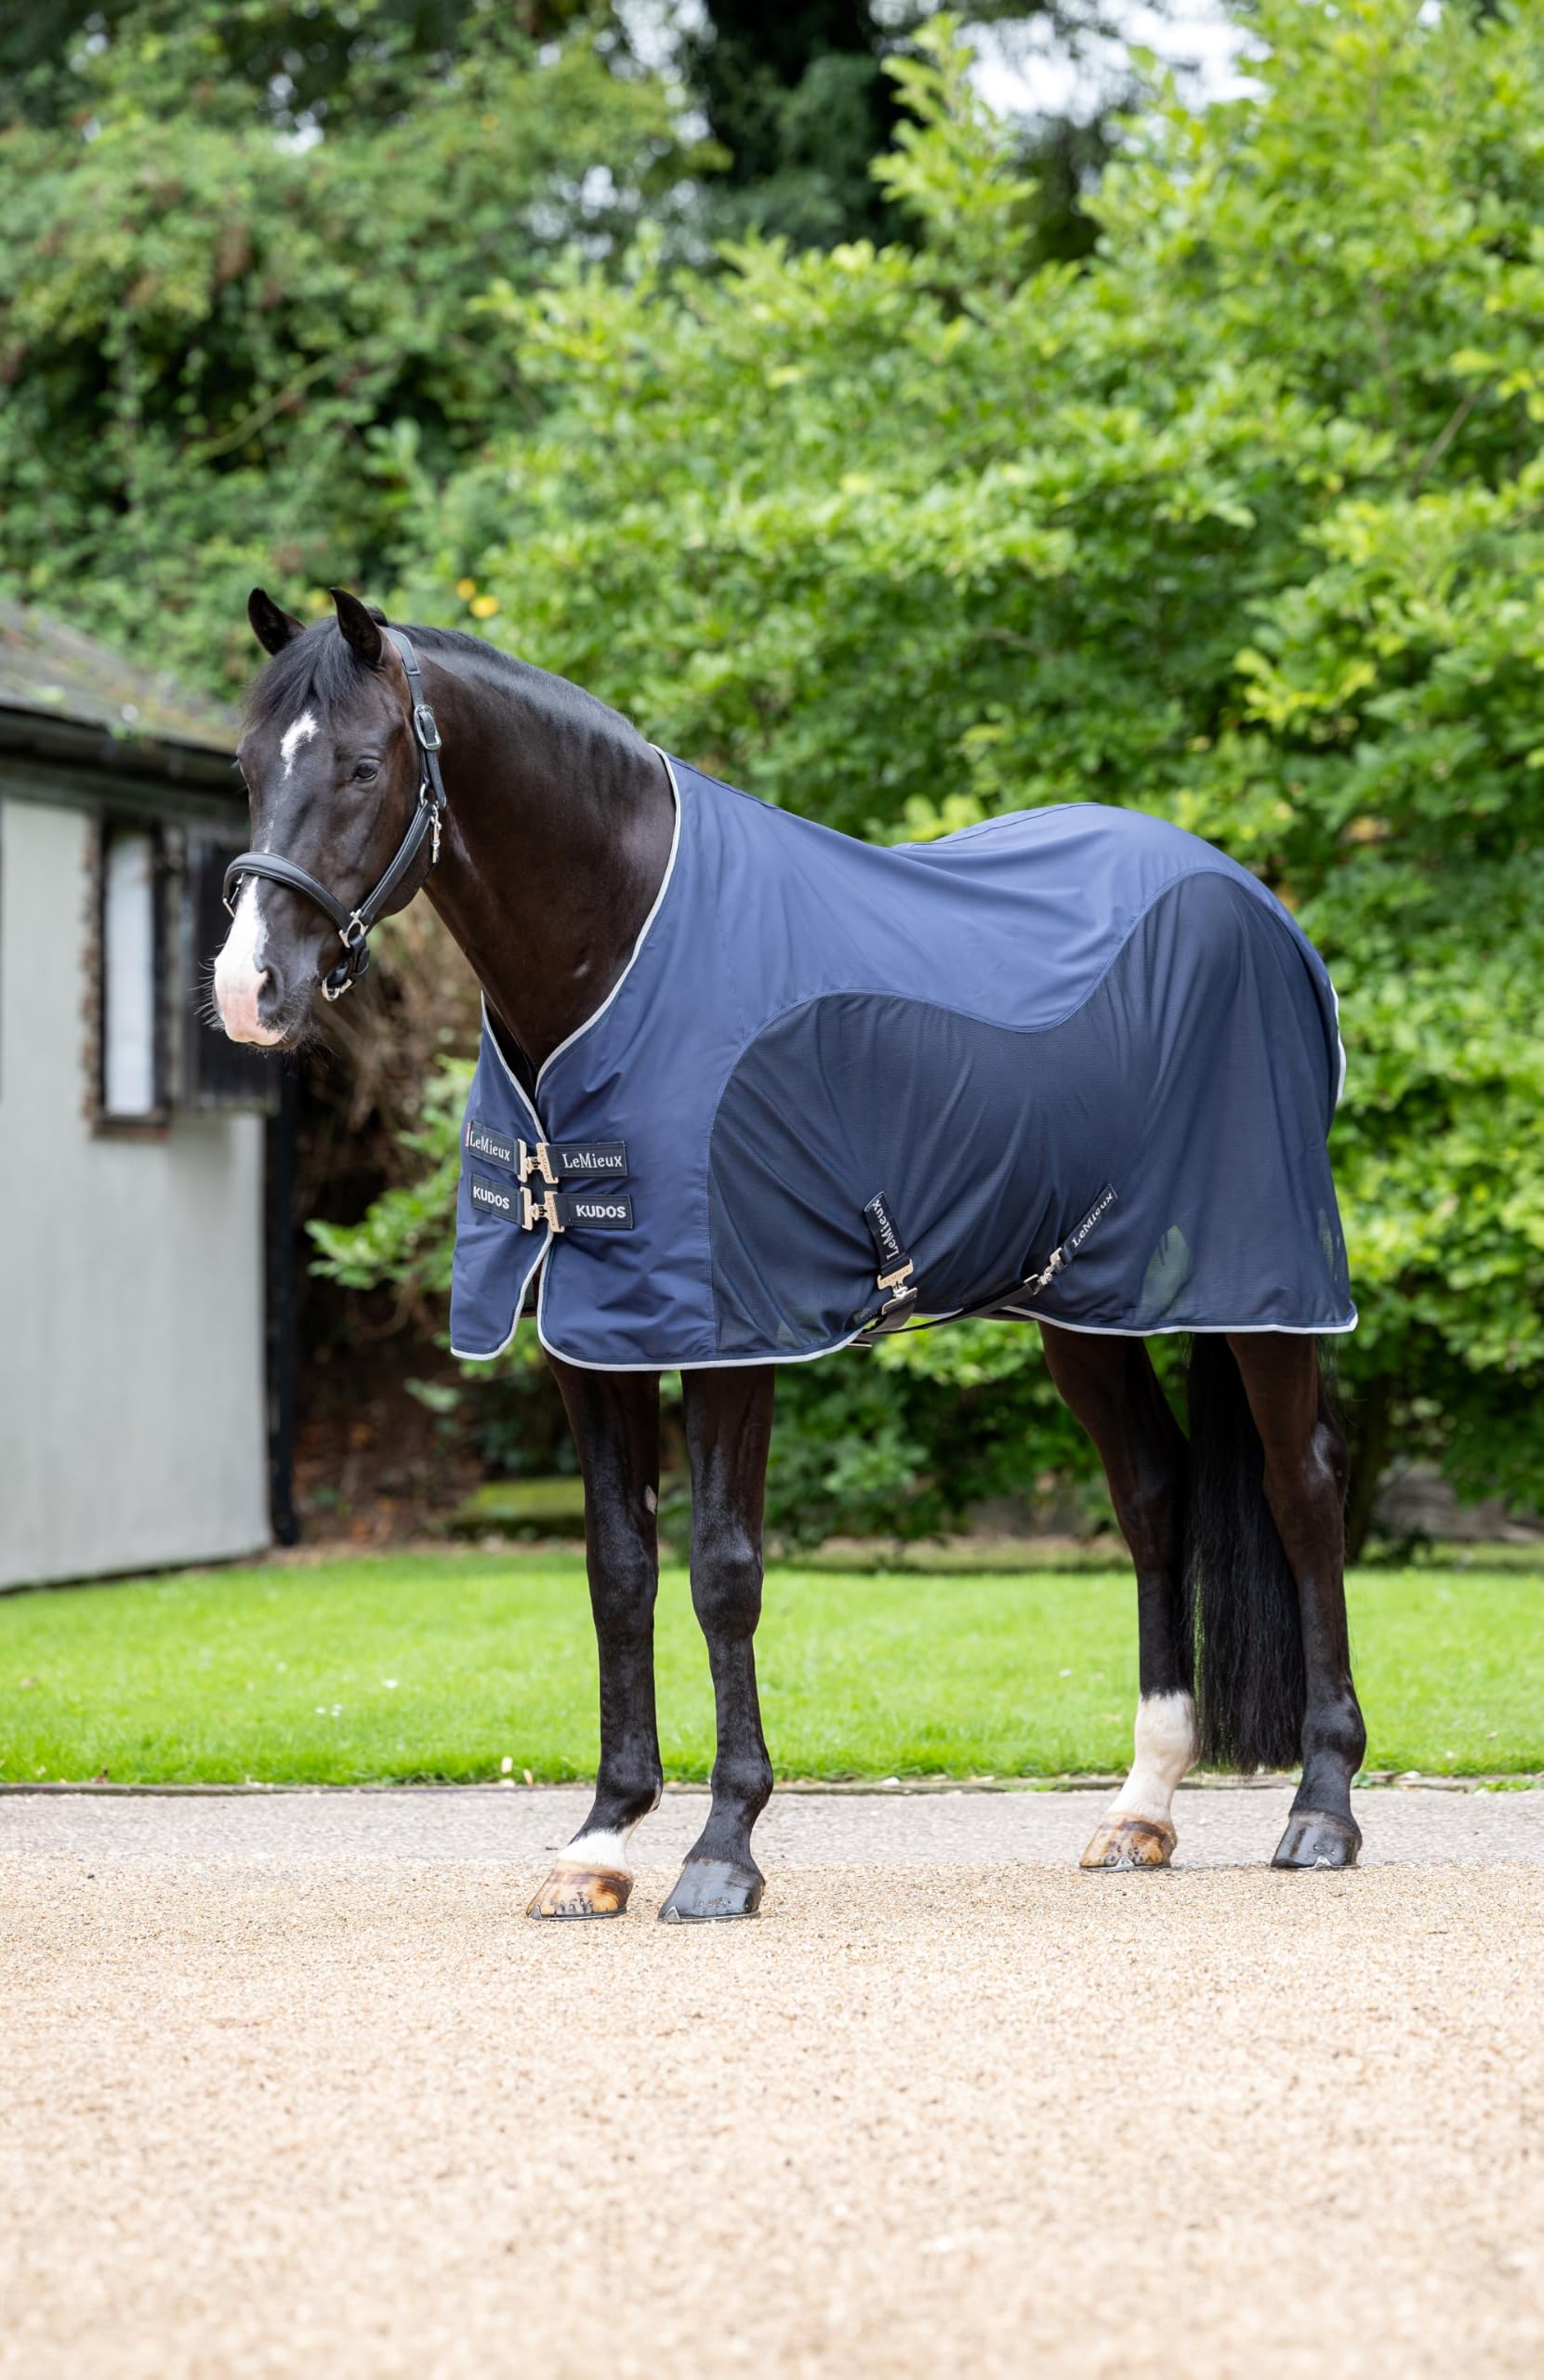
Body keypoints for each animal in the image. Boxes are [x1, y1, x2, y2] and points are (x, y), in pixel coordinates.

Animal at [216, 585, 1367, 1919]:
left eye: (361, 764)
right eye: (249, 766)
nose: (250, 988)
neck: (621, 950)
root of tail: (1250, 899)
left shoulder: (726, 1335)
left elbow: (723, 1572)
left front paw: (723, 1849)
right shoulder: (591, 1341)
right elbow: (618, 1573)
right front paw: (599, 1843)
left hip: (1261, 1287)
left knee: (1303, 1489)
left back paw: (1322, 1806)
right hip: (1083, 1304)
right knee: (1155, 1493)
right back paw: (1140, 1808)